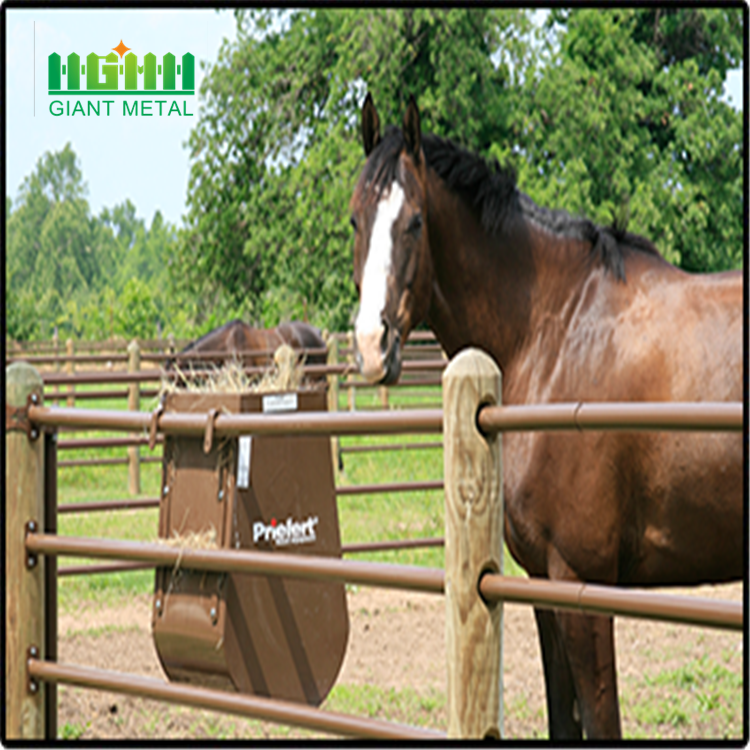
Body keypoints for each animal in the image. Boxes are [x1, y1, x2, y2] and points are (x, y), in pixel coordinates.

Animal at [350, 94, 744, 740]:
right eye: (357, 219)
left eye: (415, 222)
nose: (369, 347)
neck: (554, 330)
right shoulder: (540, 581)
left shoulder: (582, 582)